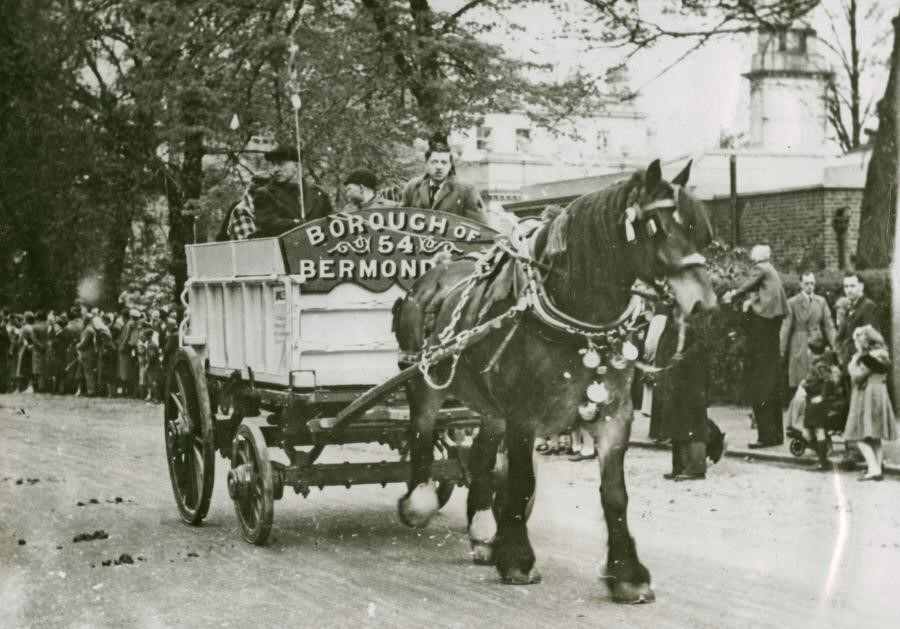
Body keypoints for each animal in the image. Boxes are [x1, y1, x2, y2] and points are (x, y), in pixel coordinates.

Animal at [394, 159, 716, 600]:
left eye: (702, 231)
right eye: (656, 226)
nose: (705, 304)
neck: (576, 317)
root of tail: (432, 276)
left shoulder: (614, 414)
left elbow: (614, 494)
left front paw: (627, 573)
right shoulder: (523, 416)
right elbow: (522, 482)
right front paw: (517, 559)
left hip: (490, 408)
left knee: (479, 458)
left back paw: (482, 530)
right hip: (426, 384)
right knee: (422, 435)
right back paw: (418, 504)